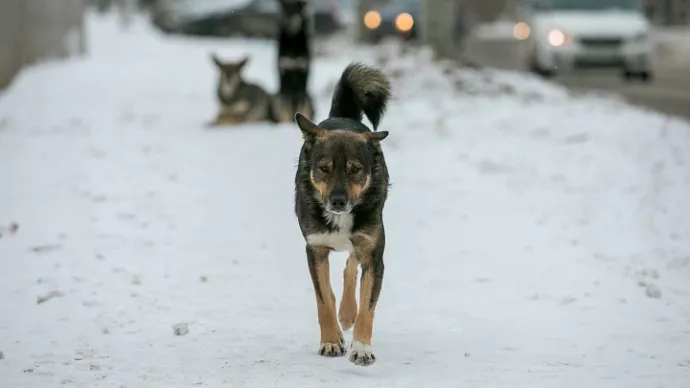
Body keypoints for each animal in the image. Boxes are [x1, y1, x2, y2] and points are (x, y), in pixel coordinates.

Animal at [290, 62, 390, 366]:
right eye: (324, 168)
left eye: (355, 169)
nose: (337, 201)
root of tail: (343, 117)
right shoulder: (315, 249)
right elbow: (323, 299)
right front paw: (331, 341)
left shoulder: (373, 255)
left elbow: (367, 307)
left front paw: (362, 348)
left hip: (363, 241)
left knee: (350, 266)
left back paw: (347, 313)